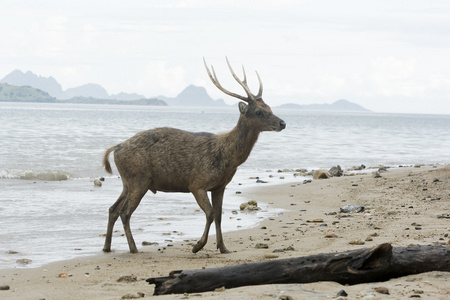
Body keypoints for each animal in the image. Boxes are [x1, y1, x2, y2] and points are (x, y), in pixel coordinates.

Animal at [102, 58, 284, 253]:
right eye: (258, 112)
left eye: (269, 107)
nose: (283, 123)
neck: (228, 159)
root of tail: (116, 148)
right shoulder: (197, 183)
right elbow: (210, 213)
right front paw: (198, 246)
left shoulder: (220, 186)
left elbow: (219, 215)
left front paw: (223, 247)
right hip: (139, 179)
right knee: (125, 212)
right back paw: (133, 248)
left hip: (127, 181)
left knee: (113, 209)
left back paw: (107, 247)